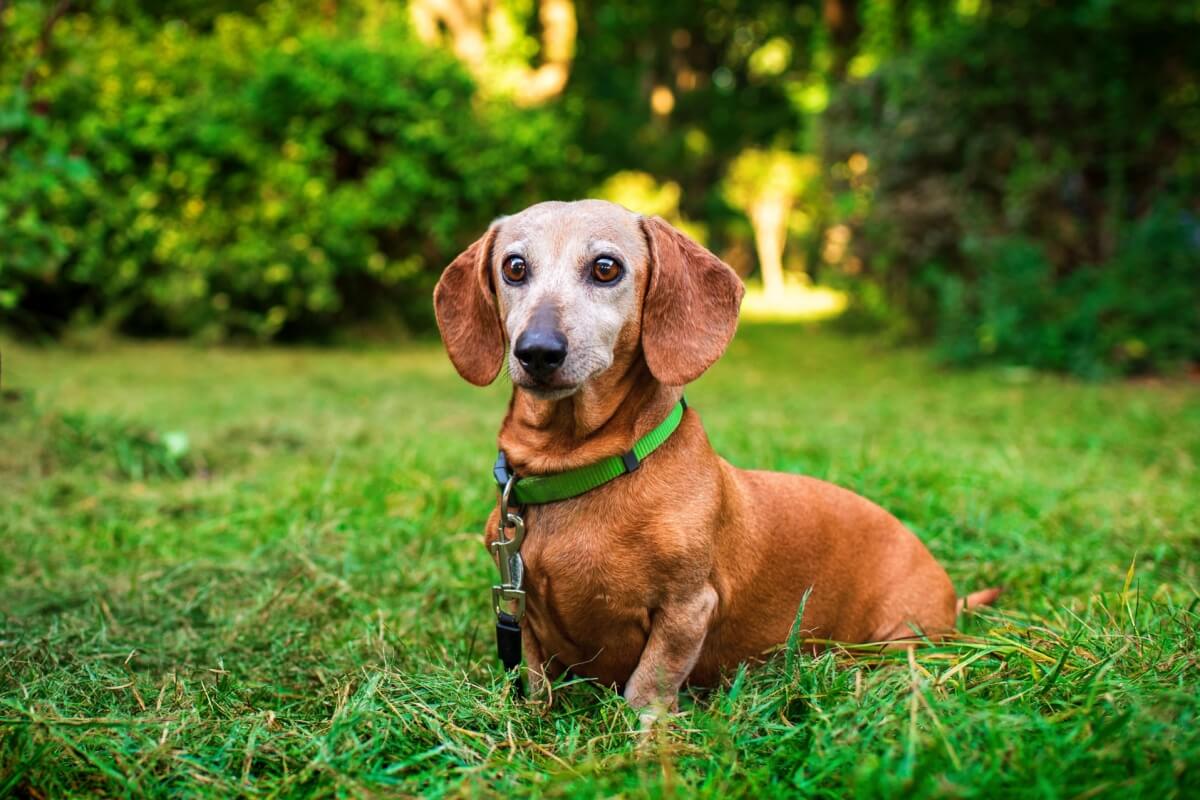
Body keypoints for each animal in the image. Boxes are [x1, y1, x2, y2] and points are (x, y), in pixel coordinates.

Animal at [436, 203, 998, 714]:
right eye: (514, 267)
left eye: (605, 267)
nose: (537, 351)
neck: (577, 469)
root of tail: (948, 592)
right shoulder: (520, 606)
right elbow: (534, 681)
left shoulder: (687, 609)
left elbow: (649, 686)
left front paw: (647, 744)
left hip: (900, 638)